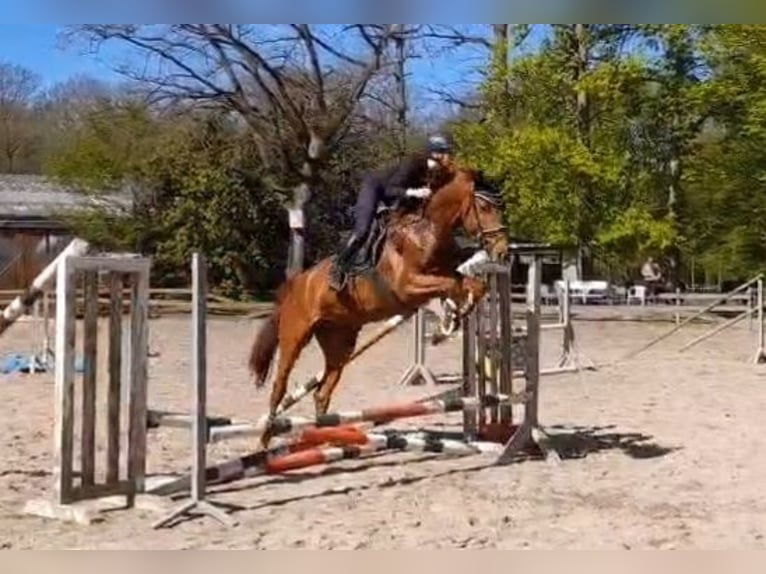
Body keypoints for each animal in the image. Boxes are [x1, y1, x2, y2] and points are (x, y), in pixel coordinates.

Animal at [248, 165, 509, 448]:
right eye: (484, 207)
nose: (503, 251)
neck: (427, 231)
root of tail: (297, 284)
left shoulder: (439, 276)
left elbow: (470, 285)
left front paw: (455, 317)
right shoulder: (408, 286)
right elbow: (451, 285)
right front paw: (447, 324)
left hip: (340, 343)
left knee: (322, 392)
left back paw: (325, 438)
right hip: (295, 337)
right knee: (279, 387)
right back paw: (264, 440)